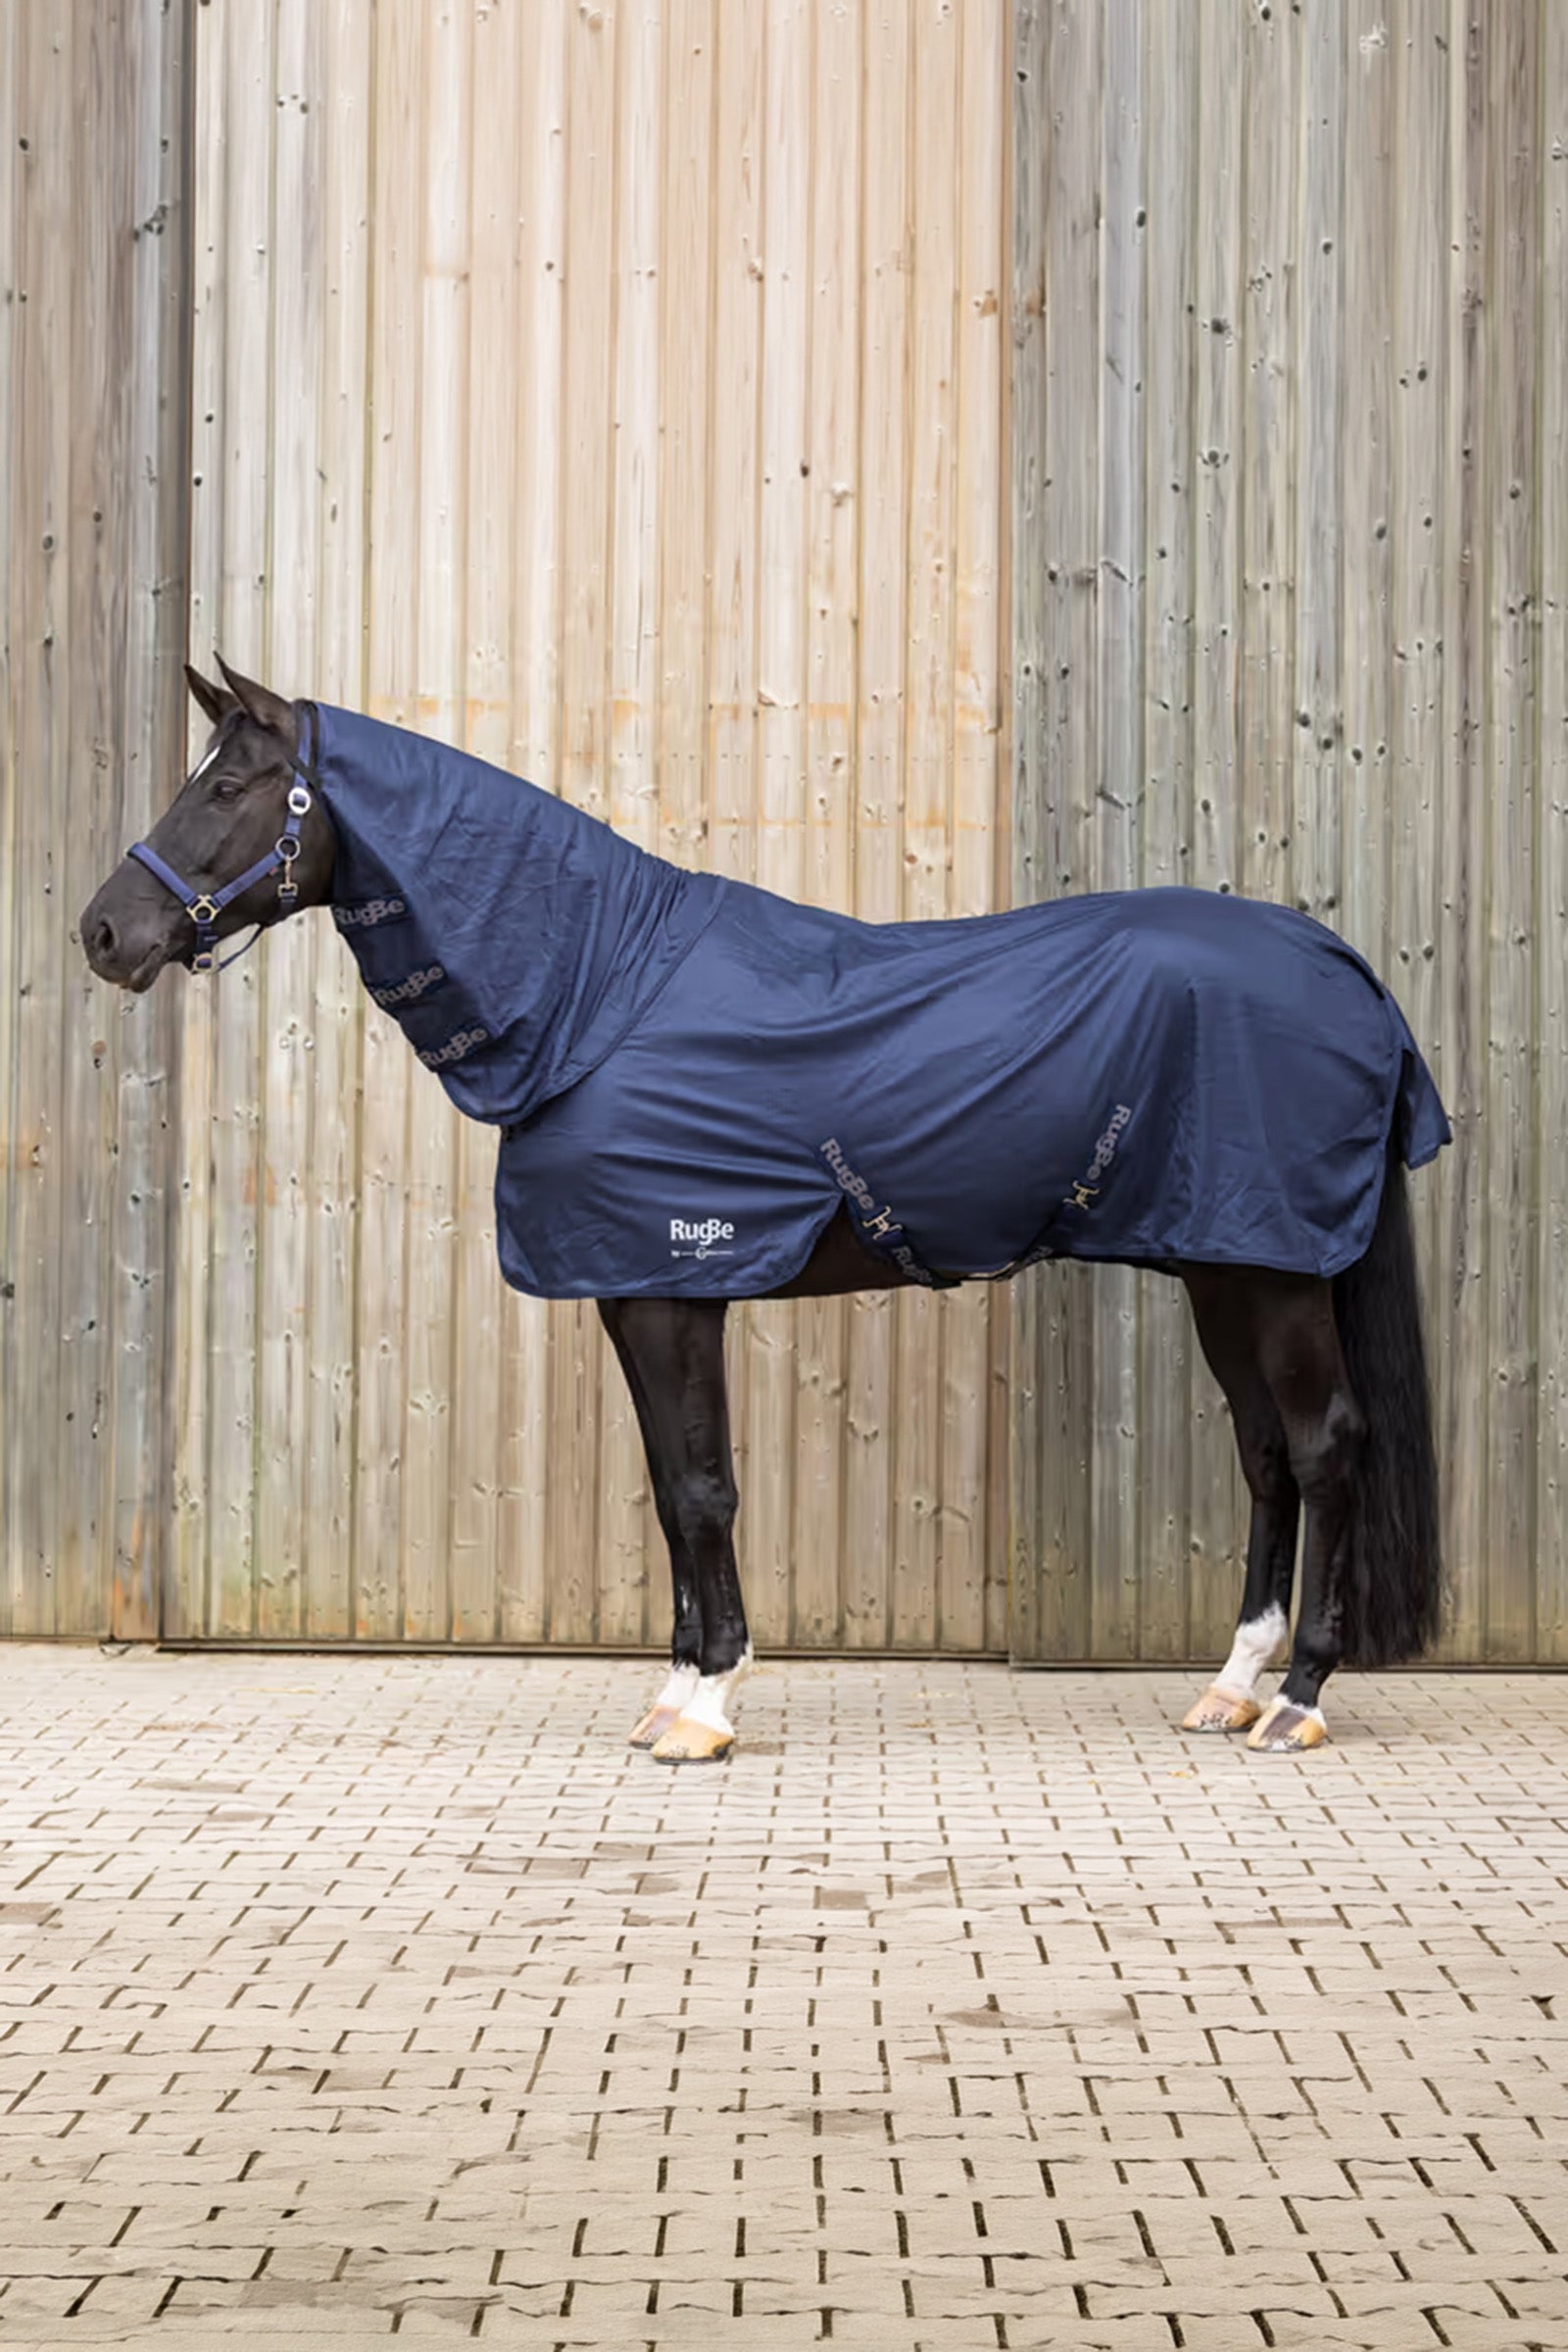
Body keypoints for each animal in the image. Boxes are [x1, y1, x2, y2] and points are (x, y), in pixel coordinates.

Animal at [81, 660, 1448, 1762]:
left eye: (224, 788)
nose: (105, 932)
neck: (597, 994)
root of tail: (1342, 969)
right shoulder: (635, 1291)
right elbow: (666, 1481)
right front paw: (676, 1688)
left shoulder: (676, 1286)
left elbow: (701, 1489)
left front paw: (706, 1708)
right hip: (1227, 1263)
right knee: (1266, 1453)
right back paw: (1230, 1685)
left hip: (1272, 1273)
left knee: (1326, 1444)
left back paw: (1297, 1700)